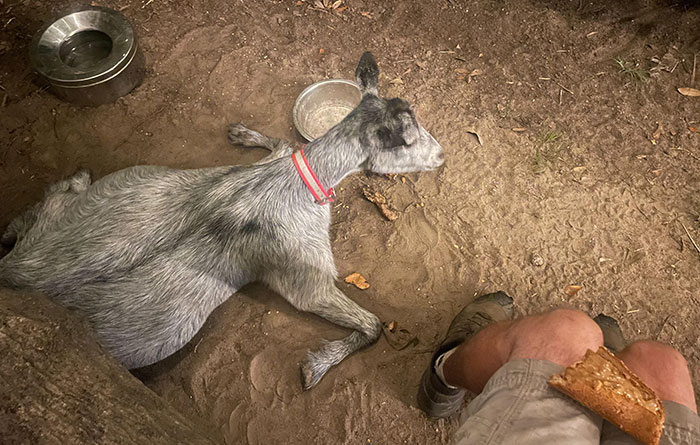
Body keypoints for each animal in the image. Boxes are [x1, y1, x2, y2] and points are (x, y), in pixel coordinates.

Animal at [0, 52, 444, 389]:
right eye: (409, 140)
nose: (441, 155)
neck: (302, 177)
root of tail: (20, 272)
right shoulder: (305, 271)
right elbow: (372, 325)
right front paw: (315, 366)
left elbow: (283, 142)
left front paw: (242, 133)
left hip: (125, 183)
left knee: (44, 206)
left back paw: (55, 195)